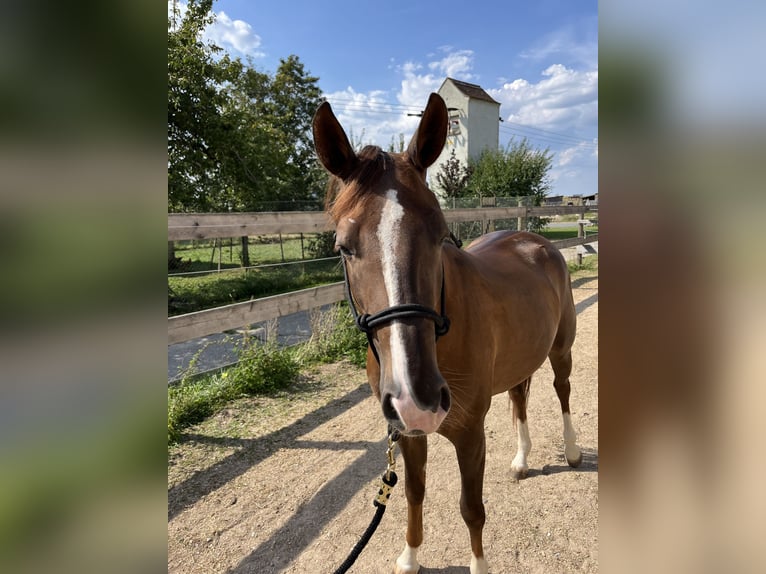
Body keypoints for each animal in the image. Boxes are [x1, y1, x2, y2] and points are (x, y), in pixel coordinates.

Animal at [312, 94, 584, 574]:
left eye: (440, 234)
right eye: (343, 247)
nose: (415, 397)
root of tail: (537, 242)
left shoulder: (470, 434)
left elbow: (471, 509)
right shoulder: (406, 434)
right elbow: (413, 494)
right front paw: (409, 557)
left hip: (560, 350)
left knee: (562, 390)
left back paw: (571, 452)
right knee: (520, 399)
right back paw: (521, 459)